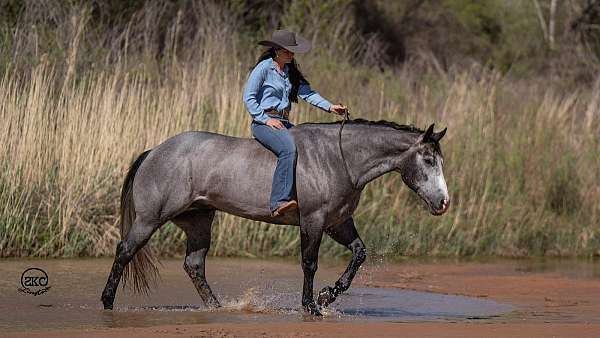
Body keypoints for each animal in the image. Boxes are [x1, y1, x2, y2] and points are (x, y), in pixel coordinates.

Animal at [101, 118, 448, 314]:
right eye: (428, 160)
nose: (443, 202)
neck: (340, 158)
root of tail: (154, 151)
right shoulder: (313, 221)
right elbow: (309, 264)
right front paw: (311, 306)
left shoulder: (337, 223)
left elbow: (359, 254)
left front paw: (327, 296)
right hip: (150, 219)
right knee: (125, 250)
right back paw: (107, 302)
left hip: (198, 221)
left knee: (194, 265)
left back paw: (217, 307)